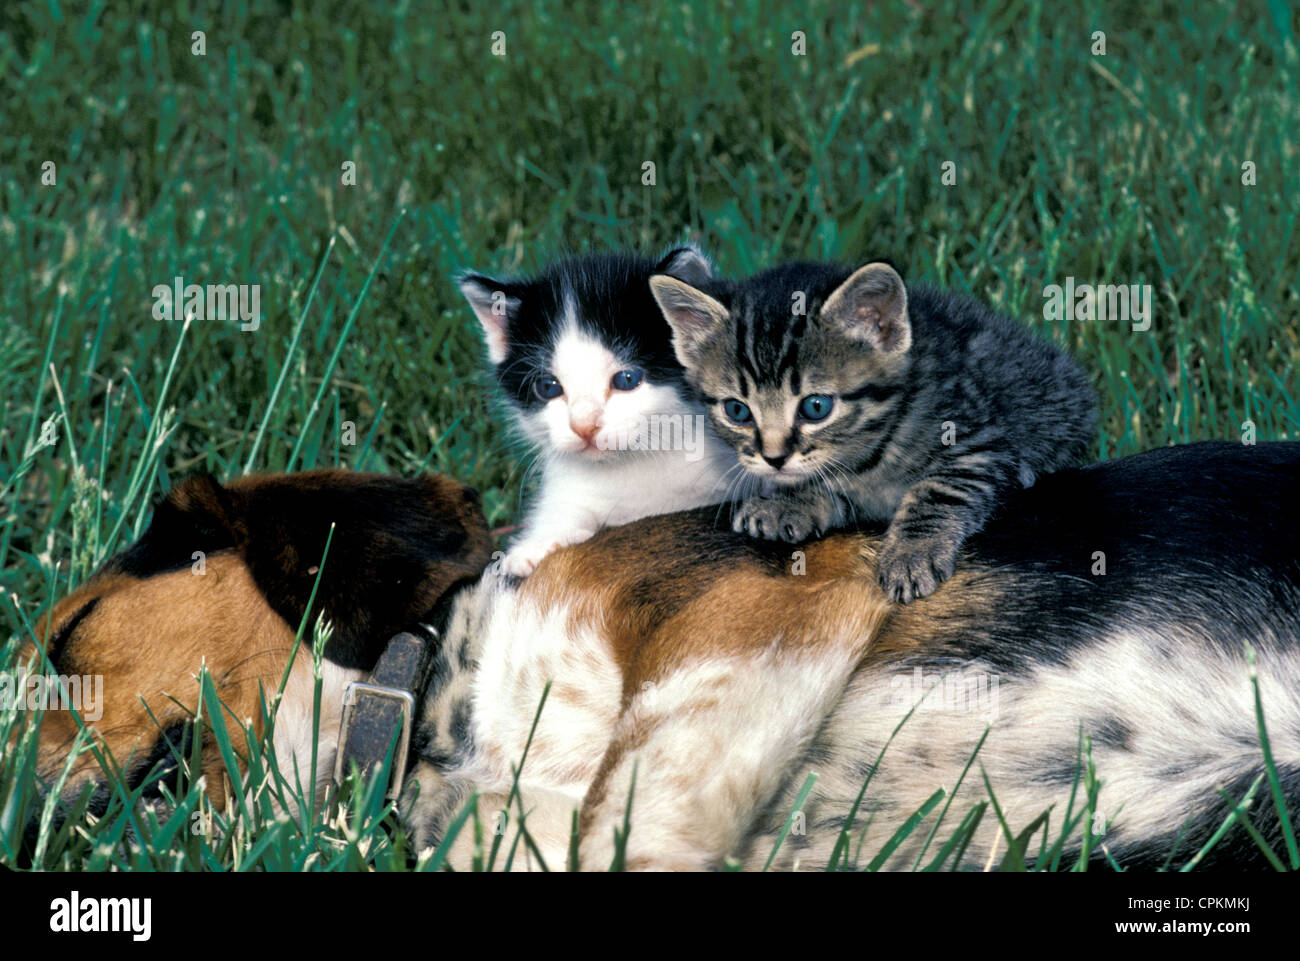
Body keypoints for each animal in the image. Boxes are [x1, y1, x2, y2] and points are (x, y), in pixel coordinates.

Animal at [650, 258, 1097, 605]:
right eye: (737, 411)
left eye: (816, 406)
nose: (774, 458)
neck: (872, 447)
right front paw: (791, 502)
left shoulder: (978, 440)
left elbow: (939, 488)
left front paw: (913, 551)